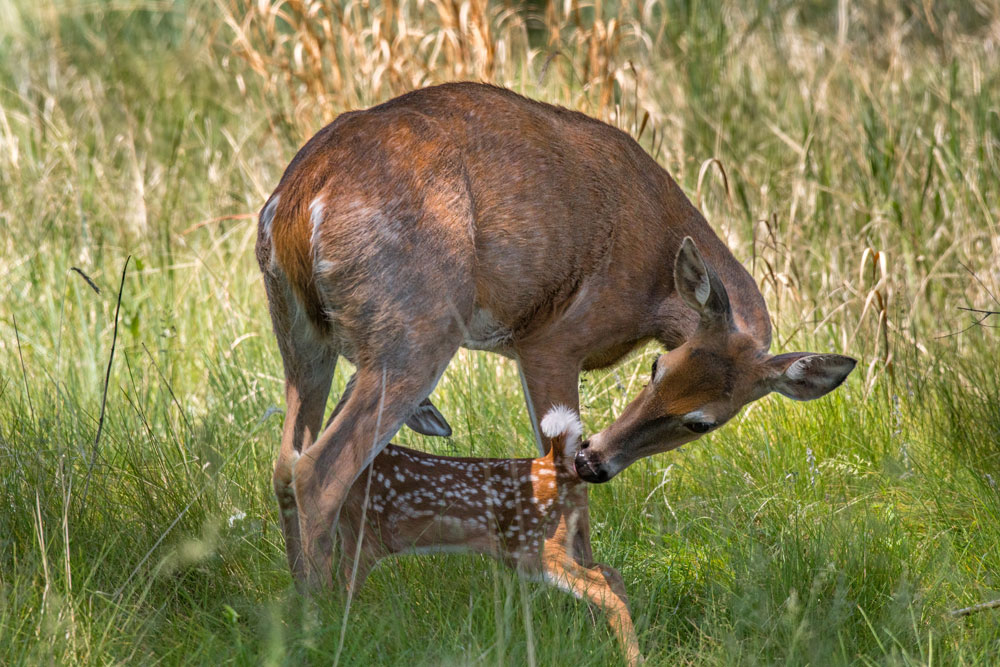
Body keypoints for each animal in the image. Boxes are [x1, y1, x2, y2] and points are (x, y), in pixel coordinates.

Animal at [258, 81, 860, 588]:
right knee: (319, 471)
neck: (653, 281)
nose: (599, 462)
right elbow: (560, 470)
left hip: (303, 333)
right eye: (657, 368)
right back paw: (327, 613)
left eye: (701, 422)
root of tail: (300, 200)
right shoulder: (552, 340)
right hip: (413, 328)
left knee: (286, 462)